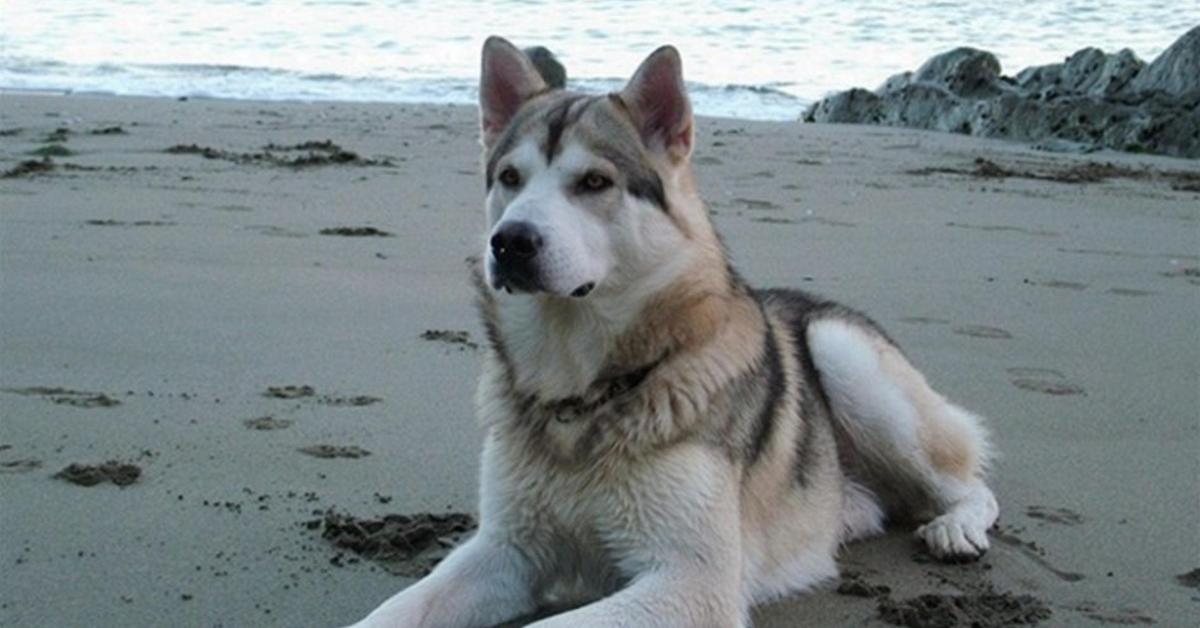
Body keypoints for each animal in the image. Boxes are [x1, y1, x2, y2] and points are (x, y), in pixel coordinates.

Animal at [350, 36, 1003, 624]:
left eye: (594, 182)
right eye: (509, 177)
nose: (509, 242)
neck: (580, 395)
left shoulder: (692, 583)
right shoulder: (504, 551)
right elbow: (390, 613)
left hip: (847, 358)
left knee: (971, 484)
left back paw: (956, 527)